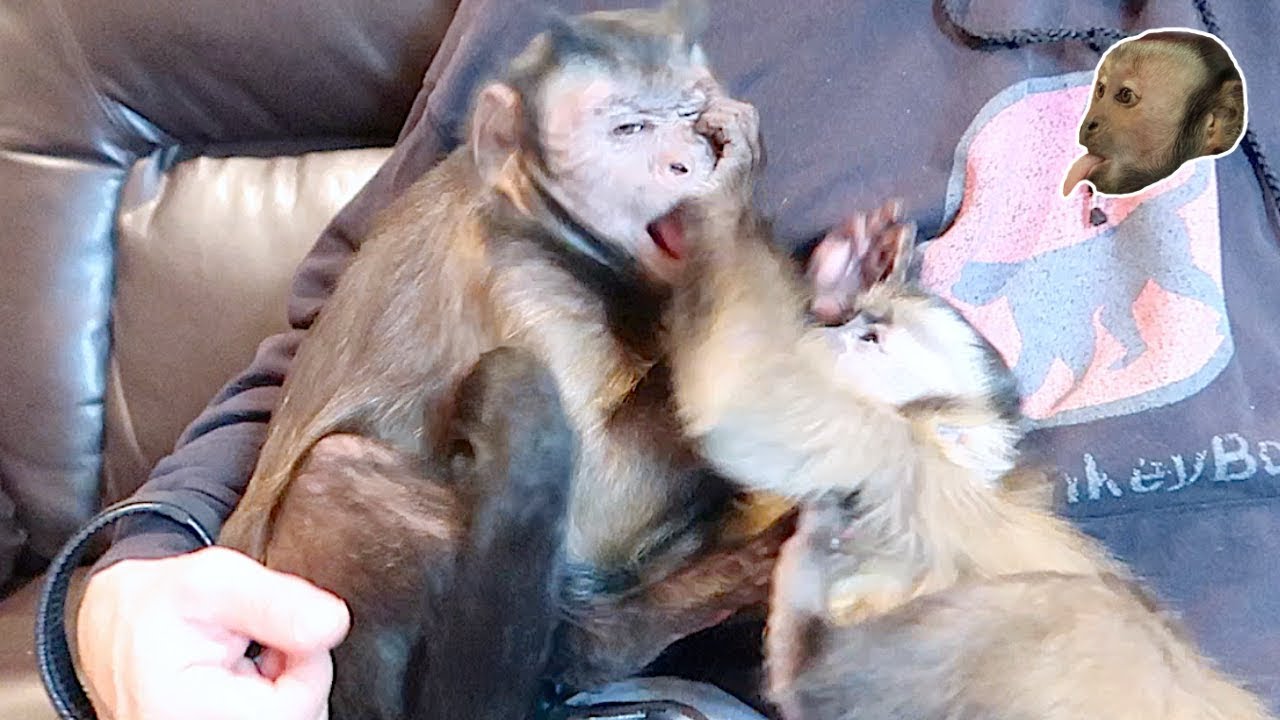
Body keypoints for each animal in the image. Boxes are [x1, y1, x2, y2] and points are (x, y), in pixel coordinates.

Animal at [215, 2, 790, 718]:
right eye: (629, 128)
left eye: (689, 116)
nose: (686, 161)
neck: (536, 223)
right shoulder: (521, 285)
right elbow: (596, 513)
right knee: (336, 478)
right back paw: (605, 642)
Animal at [659, 194, 1278, 719]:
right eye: (851, 323)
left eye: (869, 341)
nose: (828, 332)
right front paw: (842, 271)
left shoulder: (900, 460)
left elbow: (744, 397)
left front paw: (718, 208)